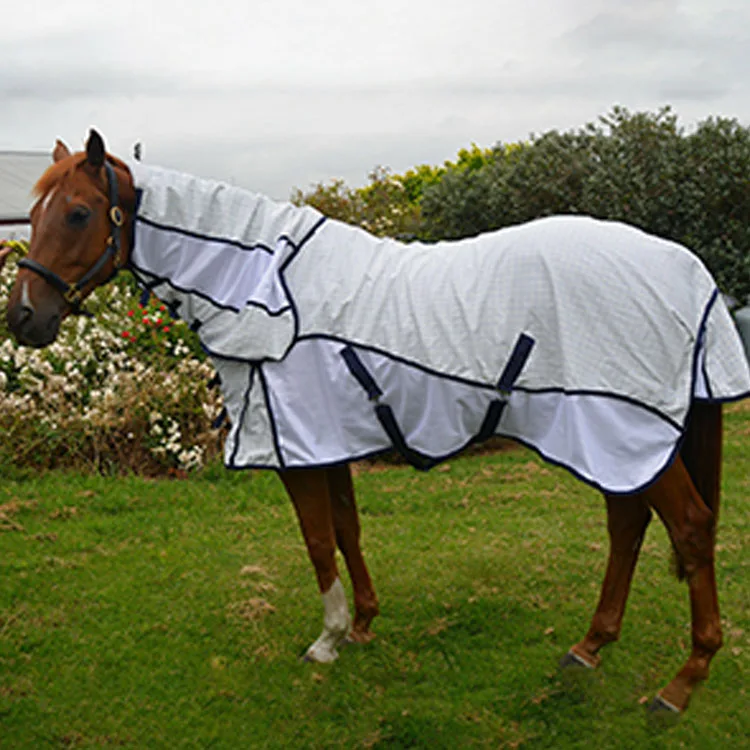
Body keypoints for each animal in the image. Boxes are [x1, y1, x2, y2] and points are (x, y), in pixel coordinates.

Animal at [7, 132, 750, 720]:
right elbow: (346, 528)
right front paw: (363, 624)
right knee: (628, 524)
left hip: (626, 434)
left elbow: (316, 539)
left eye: (77, 212)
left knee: (689, 527)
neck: (264, 283)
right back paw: (590, 647)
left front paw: (329, 639)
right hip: (613, 443)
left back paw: (683, 682)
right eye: (34, 215)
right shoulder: (329, 439)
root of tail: (685, 269)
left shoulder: (299, 446)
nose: (22, 318)